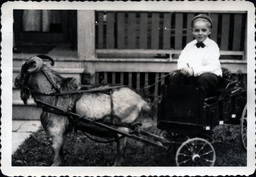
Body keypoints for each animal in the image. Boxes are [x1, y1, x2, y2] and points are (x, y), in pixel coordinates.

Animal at [14, 55, 152, 166]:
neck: (54, 94)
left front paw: (55, 164)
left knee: (121, 148)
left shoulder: (56, 130)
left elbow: (56, 150)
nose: (15, 82)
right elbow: (61, 149)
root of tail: (141, 100)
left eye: (24, 69)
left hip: (121, 128)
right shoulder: (63, 131)